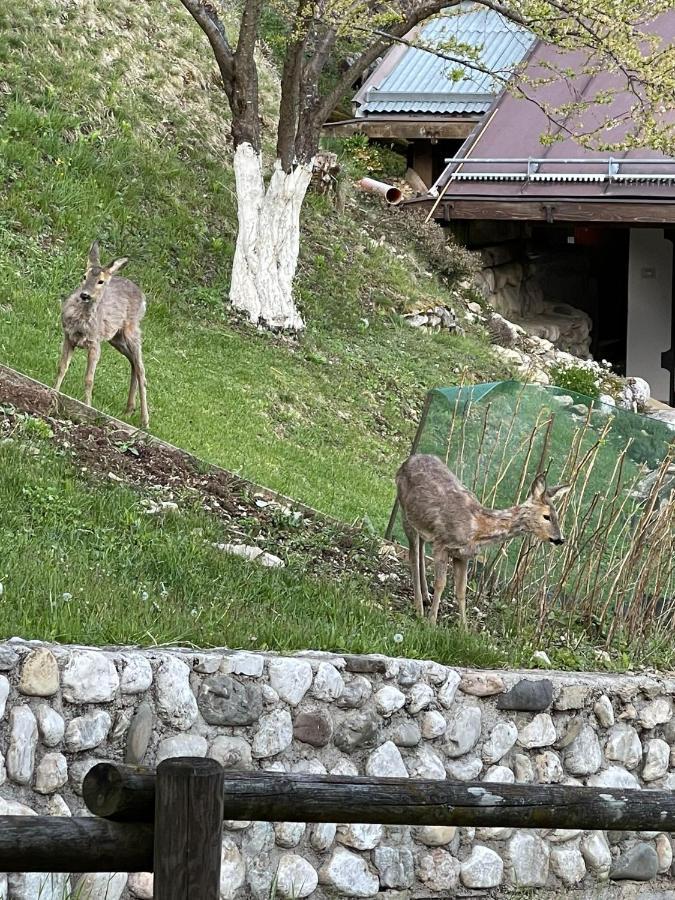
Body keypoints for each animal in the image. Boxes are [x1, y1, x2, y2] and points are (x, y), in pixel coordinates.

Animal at [55, 241, 151, 428]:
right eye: (84, 276)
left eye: (100, 281)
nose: (84, 295)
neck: (82, 324)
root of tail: (143, 297)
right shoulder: (68, 336)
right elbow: (62, 367)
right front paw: (54, 391)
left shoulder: (95, 343)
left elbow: (89, 379)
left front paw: (87, 408)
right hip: (116, 338)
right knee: (133, 364)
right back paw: (129, 409)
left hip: (132, 329)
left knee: (141, 369)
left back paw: (145, 421)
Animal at [396, 458, 572, 624]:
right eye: (546, 516)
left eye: (557, 516)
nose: (560, 539)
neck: (477, 527)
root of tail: (406, 461)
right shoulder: (442, 544)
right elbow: (441, 584)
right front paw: (431, 622)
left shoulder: (463, 555)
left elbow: (461, 590)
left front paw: (464, 628)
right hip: (404, 511)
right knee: (413, 556)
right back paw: (419, 607)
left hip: (421, 524)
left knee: (420, 548)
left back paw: (425, 597)